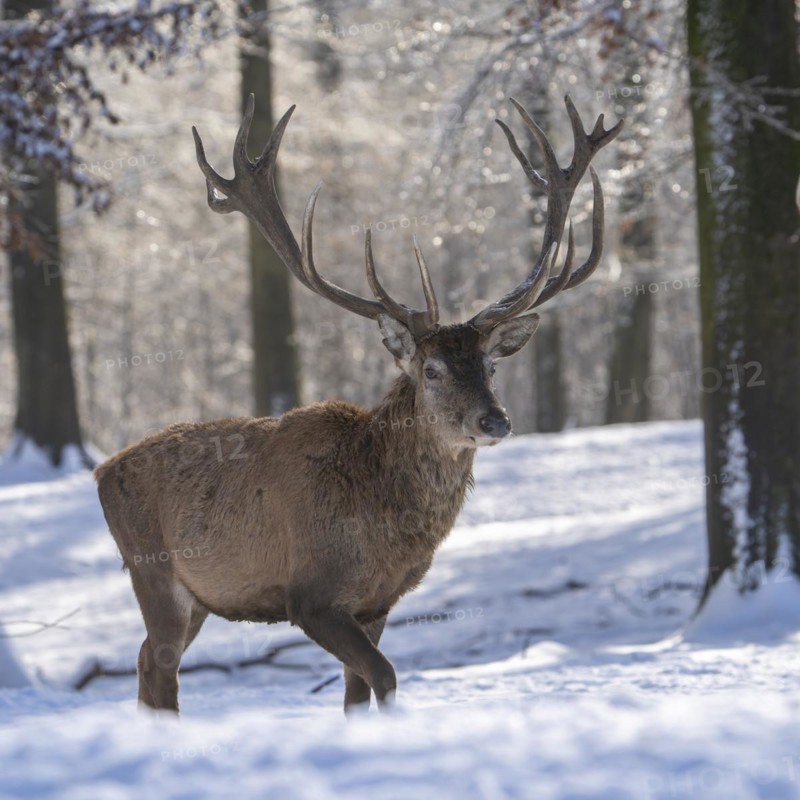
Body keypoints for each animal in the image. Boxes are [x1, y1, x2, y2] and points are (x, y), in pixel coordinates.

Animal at [95, 94, 622, 715]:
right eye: (432, 370)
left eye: (491, 366)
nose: (496, 420)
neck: (382, 525)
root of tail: (101, 470)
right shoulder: (310, 597)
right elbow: (387, 677)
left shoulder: (376, 604)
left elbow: (358, 694)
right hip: (153, 571)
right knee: (161, 666)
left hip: (198, 596)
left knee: (145, 663)